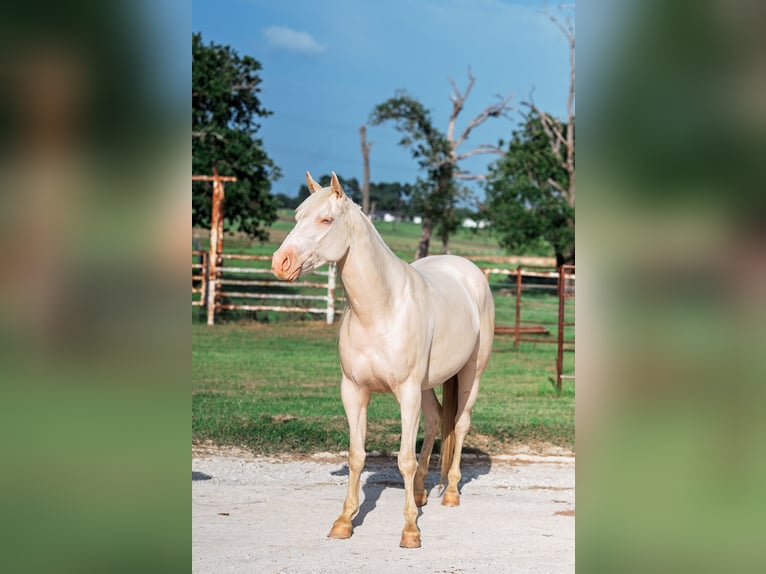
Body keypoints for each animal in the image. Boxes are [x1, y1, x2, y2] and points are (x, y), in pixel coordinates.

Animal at [272, 171, 495, 549]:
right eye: (297, 216)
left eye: (326, 220)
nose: (280, 263)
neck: (380, 309)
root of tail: (468, 270)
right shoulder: (354, 391)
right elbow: (356, 456)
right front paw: (344, 521)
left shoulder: (406, 393)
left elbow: (404, 459)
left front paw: (410, 530)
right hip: (426, 386)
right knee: (435, 420)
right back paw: (419, 492)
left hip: (469, 375)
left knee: (460, 423)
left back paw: (450, 492)